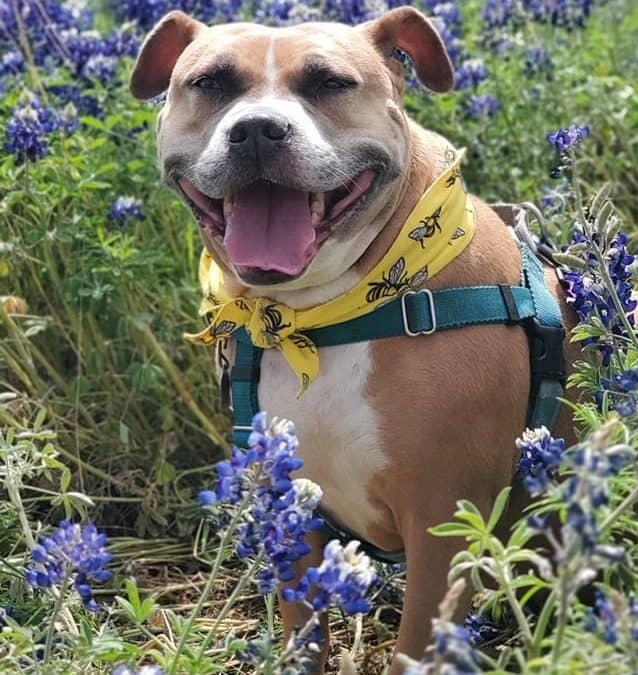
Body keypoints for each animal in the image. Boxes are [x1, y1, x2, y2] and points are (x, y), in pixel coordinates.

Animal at [130, 7, 580, 672]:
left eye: (329, 83)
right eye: (209, 83)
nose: (258, 130)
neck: (316, 318)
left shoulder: (442, 518)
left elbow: (416, 646)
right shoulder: (296, 508)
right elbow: (304, 633)